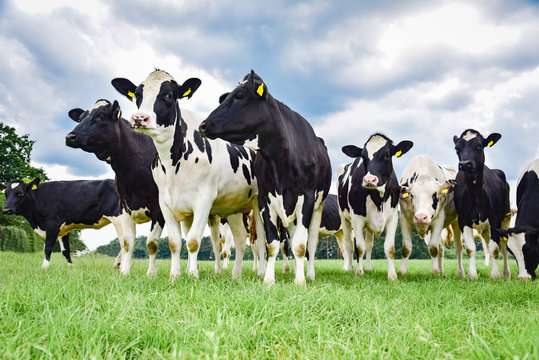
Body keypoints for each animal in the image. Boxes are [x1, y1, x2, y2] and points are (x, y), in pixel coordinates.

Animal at [64, 100, 165, 278]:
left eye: (100, 116)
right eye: (81, 118)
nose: (70, 137)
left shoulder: (158, 208)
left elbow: (152, 242)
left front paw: (151, 273)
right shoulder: (124, 206)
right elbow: (127, 241)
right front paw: (125, 271)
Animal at [110, 69, 258, 278]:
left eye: (168, 95)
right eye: (137, 95)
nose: (139, 118)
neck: (172, 163)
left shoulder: (204, 200)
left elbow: (193, 240)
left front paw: (193, 274)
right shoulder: (164, 202)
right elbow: (175, 242)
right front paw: (175, 275)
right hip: (235, 208)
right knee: (239, 240)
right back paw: (236, 274)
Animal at [199, 69, 334, 284]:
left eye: (239, 95)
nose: (203, 125)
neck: (282, 161)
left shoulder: (307, 199)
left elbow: (301, 245)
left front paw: (300, 281)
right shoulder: (265, 199)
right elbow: (272, 243)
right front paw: (269, 279)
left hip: (317, 207)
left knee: (310, 242)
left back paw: (309, 273)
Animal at [338, 134, 414, 280]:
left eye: (387, 155)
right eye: (363, 156)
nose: (369, 180)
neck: (378, 197)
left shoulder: (392, 218)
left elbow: (389, 248)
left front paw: (392, 275)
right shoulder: (357, 218)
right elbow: (359, 247)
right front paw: (359, 272)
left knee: (369, 244)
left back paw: (368, 268)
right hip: (344, 218)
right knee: (349, 245)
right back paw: (350, 269)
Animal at [454, 129, 512, 278]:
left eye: (479, 146)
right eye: (457, 148)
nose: (464, 164)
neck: (475, 193)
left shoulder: (495, 218)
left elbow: (495, 248)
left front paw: (495, 275)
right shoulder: (463, 219)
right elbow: (470, 248)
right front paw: (472, 275)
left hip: (506, 217)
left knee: (503, 246)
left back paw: (506, 273)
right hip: (485, 228)